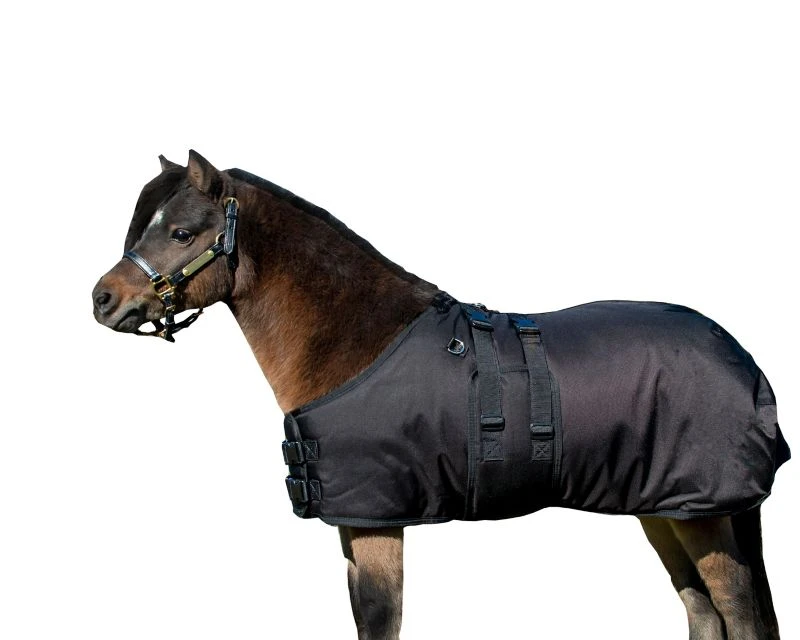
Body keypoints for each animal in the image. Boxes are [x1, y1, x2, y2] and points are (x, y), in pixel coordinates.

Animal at [92, 151, 788, 640]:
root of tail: (739, 356)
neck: (358, 341)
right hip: (664, 510)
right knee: (703, 613)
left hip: (701, 514)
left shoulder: (378, 522)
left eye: (183, 233)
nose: (103, 299)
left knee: (737, 614)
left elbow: (383, 623)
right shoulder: (358, 524)